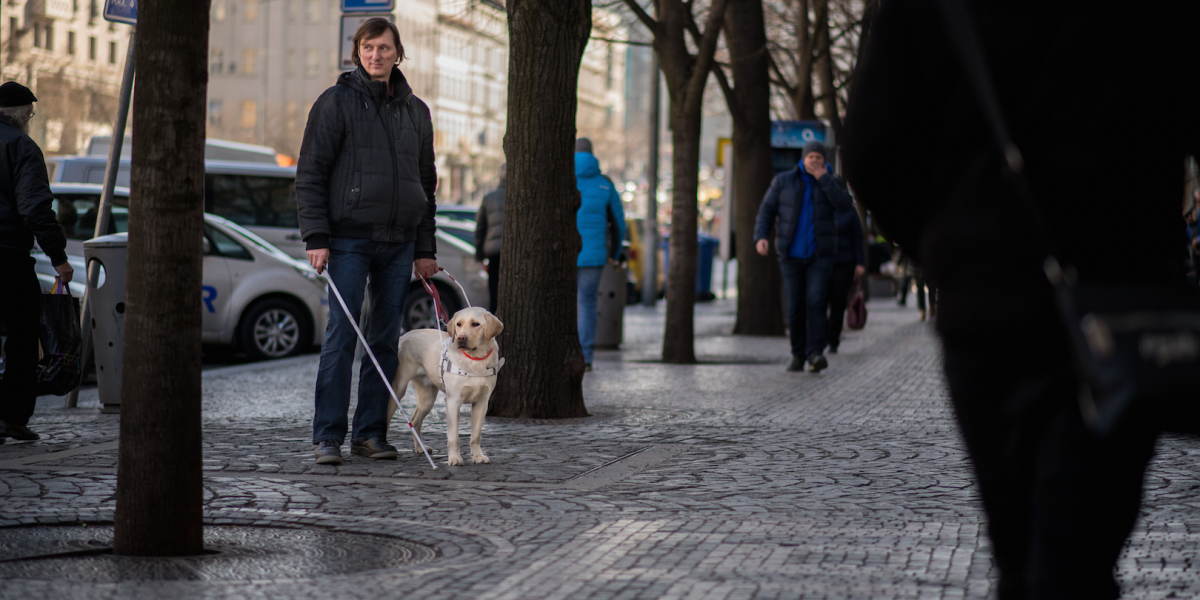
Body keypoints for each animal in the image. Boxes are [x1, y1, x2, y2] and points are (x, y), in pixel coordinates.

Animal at [386, 307, 504, 465]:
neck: (475, 360)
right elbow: (454, 437)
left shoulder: (482, 403)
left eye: (475, 324)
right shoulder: (453, 402)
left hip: (428, 399)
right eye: (459, 324)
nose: (461, 338)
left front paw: (478, 456)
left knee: (415, 421)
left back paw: (420, 448)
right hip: (397, 390)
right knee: (387, 418)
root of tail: (405, 334)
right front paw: (454, 459)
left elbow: (475, 436)